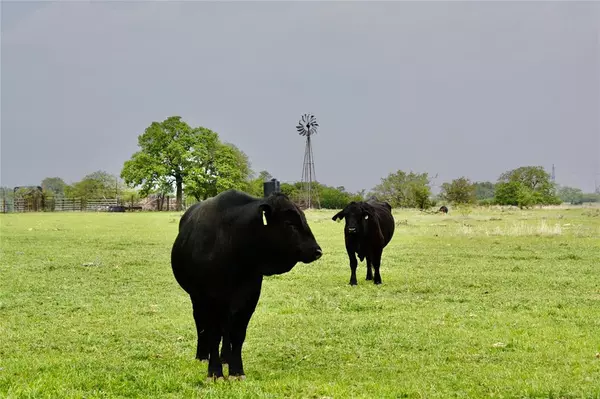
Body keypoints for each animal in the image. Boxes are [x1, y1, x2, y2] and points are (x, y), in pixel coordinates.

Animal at [169, 191, 324, 382]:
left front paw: (236, 371)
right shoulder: (208, 297)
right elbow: (212, 332)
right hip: (197, 298)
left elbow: (237, 333)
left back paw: (226, 357)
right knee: (201, 322)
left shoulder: (249, 296)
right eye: (290, 224)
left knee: (226, 327)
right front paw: (214, 372)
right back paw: (202, 356)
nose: (317, 251)